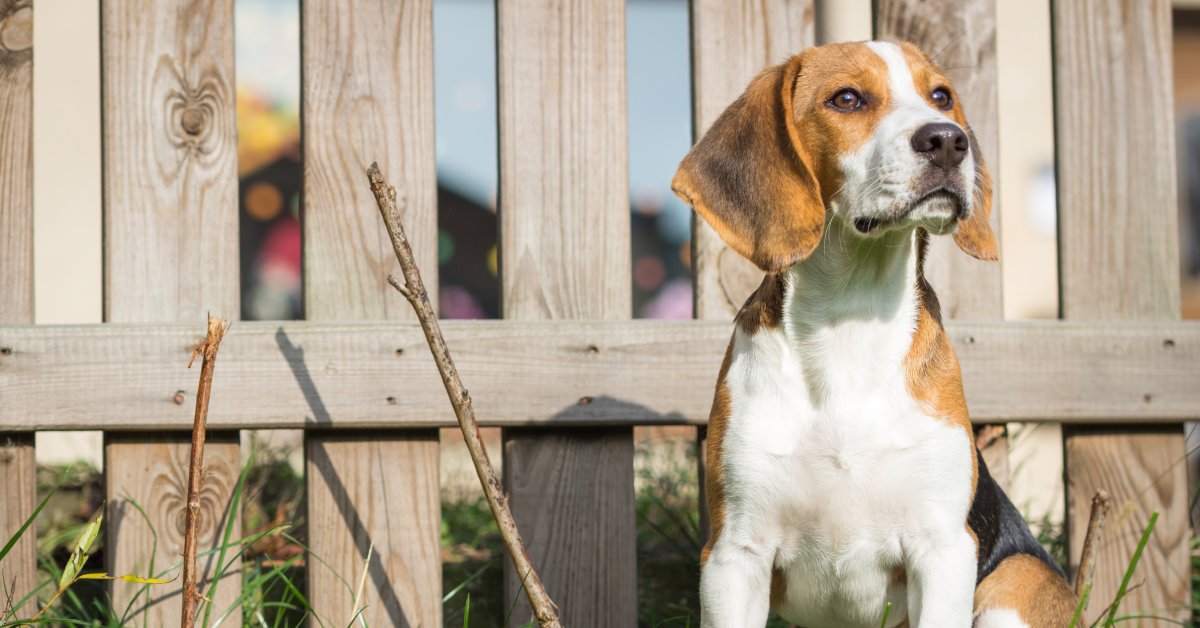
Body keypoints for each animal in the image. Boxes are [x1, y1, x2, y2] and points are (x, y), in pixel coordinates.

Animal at [676, 41, 1080, 624]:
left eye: (942, 96)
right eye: (846, 99)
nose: (947, 140)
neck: (850, 319)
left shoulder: (943, 547)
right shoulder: (735, 554)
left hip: (1017, 584)